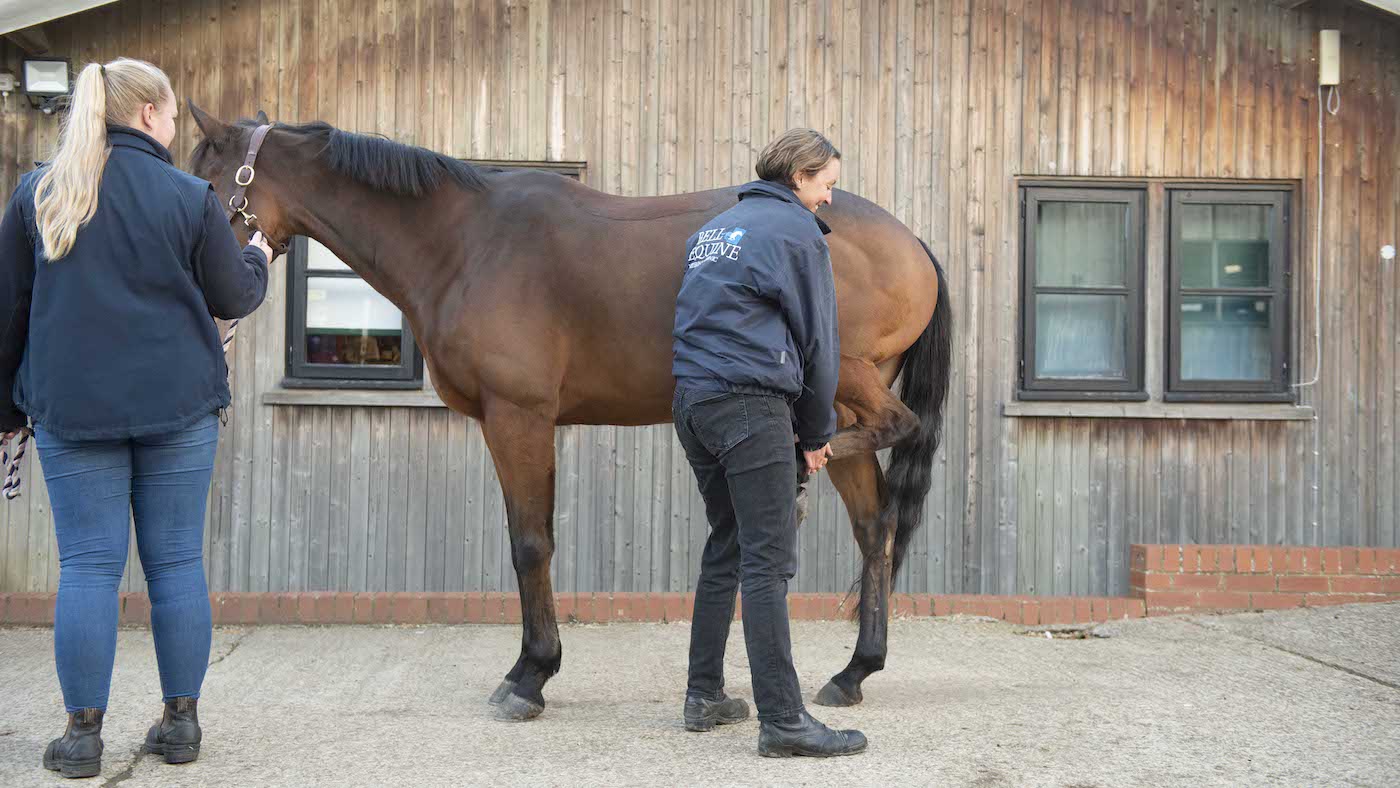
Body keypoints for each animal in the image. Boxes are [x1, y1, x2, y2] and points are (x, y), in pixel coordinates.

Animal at [187, 103, 953, 721]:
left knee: (892, 430)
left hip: (843, 376)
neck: (464, 242)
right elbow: (523, 539)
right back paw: (854, 671)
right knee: (874, 524)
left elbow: (531, 544)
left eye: (206, 181)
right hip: (834, 394)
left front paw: (530, 676)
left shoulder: (518, 417)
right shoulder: (509, 423)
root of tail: (910, 240)